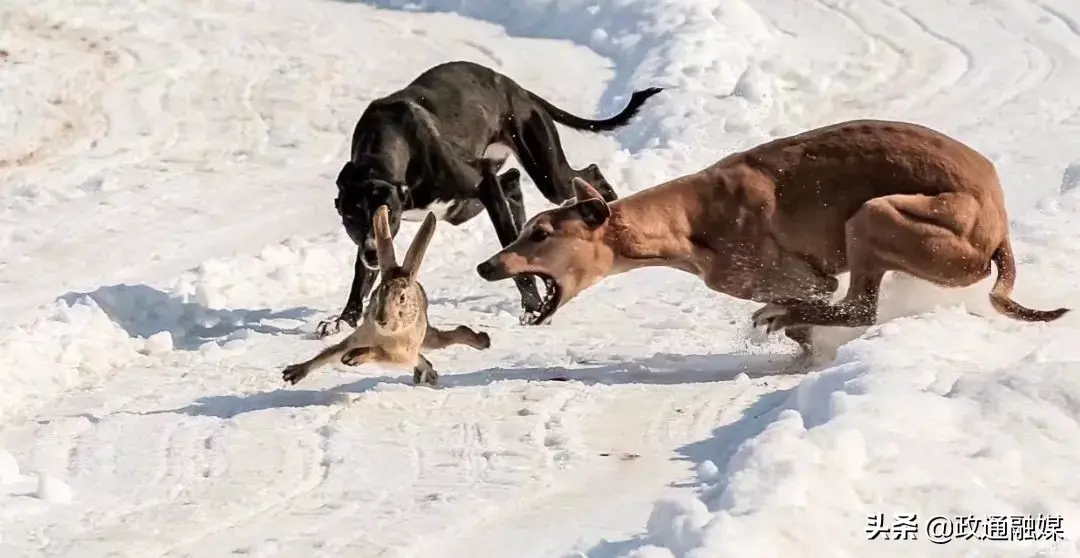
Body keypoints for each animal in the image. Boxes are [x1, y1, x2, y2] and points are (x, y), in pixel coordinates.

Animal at [315, 59, 660, 336]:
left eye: (390, 215)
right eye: (351, 218)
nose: (372, 253)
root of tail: (517, 89)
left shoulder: (481, 183)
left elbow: (508, 243)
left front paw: (533, 307)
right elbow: (361, 276)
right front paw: (344, 319)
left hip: (546, 174)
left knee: (587, 173)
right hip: (470, 202)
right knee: (513, 182)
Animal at [475, 117, 1071, 362]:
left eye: (540, 232)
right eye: (524, 229)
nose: (486, 266)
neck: (686, 217)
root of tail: (1000, 229)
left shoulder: (809, 279)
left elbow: (810, 302)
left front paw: (787, 323)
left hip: (876, 216)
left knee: (861, 308)